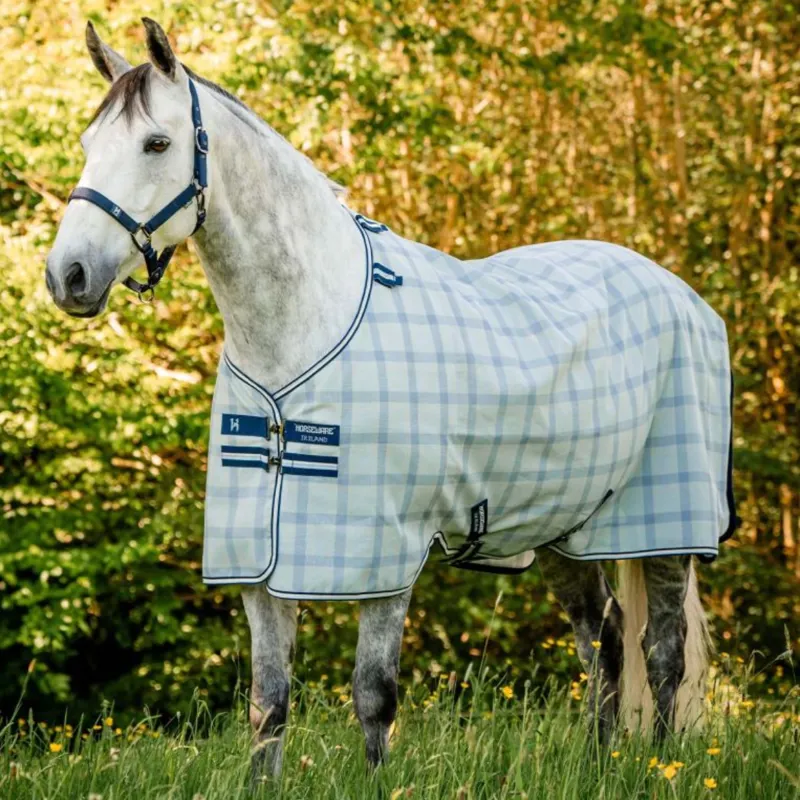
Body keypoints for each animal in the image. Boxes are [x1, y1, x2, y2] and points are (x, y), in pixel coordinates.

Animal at [46, 19, 736, 781]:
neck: (302, 327)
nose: (68, 275)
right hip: (565, 523)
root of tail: (680, 293)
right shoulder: (261, 568)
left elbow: (373, 698)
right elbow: (268, 706)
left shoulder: (385, 560)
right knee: (605, 638)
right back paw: (599, 764)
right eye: (89, 144)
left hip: (666, 528)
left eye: (156, 144)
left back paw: (662, 766)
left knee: (662, 652)